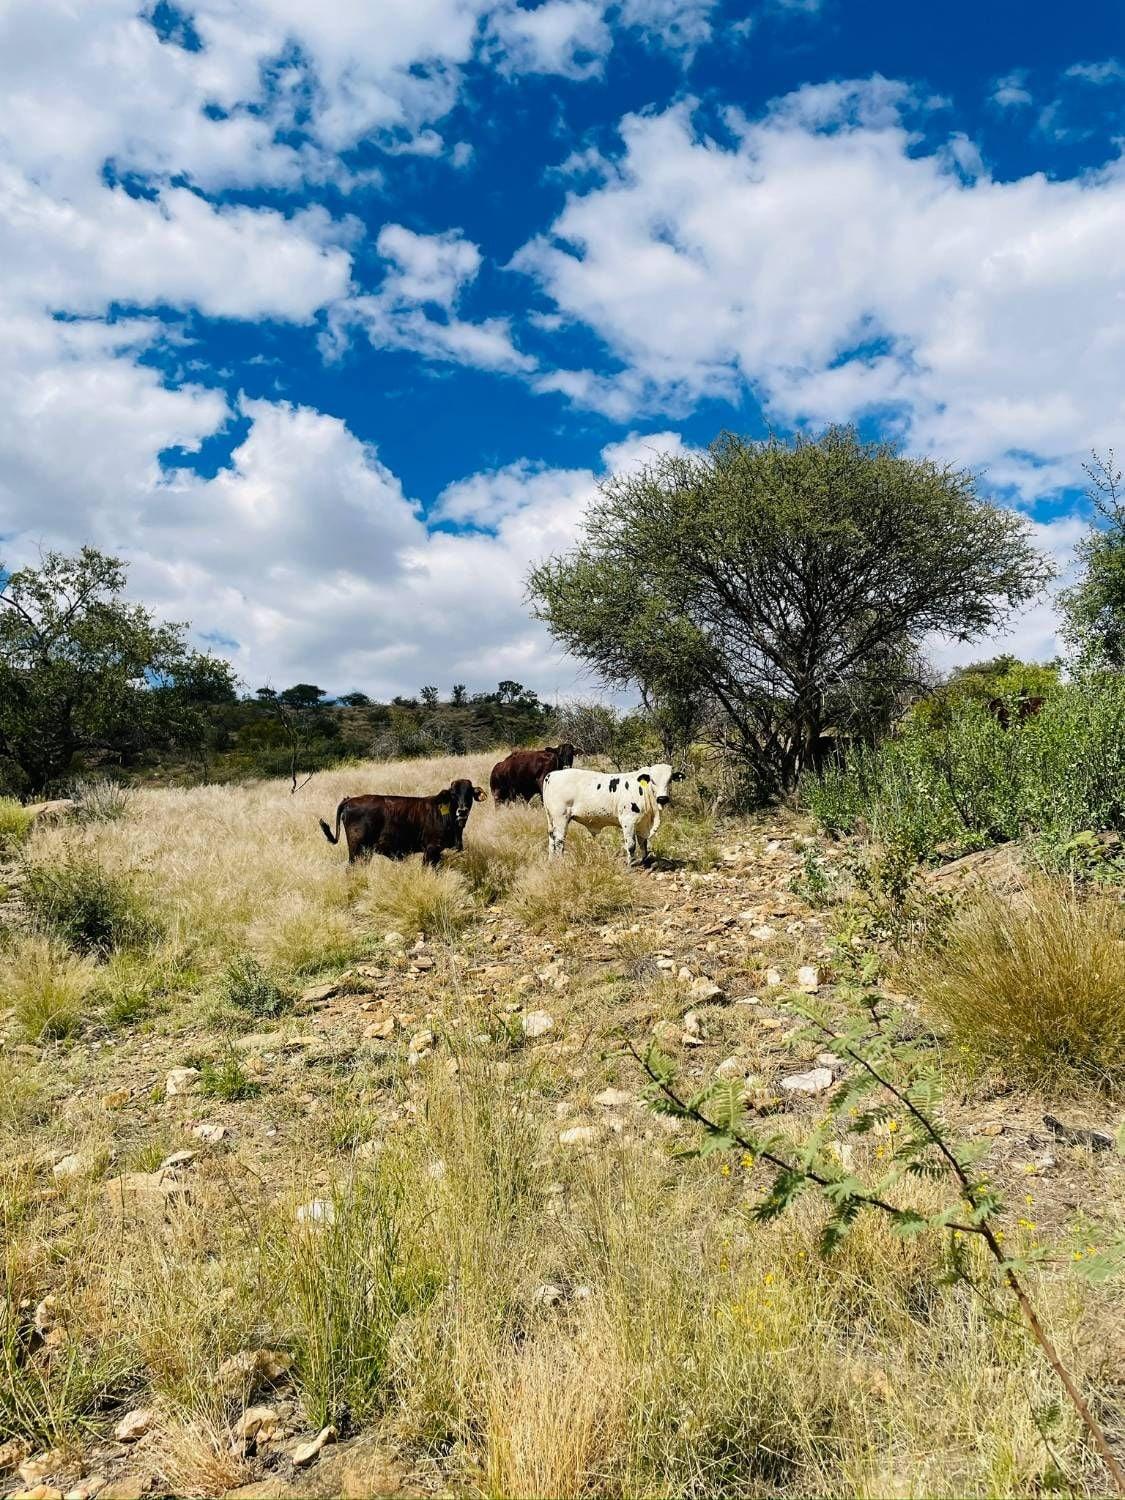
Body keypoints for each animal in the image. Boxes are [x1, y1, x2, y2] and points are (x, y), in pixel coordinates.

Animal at [319, 779, 485, 866]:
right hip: (357, 851)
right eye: (453, 794)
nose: (462, 810)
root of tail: (350, 800)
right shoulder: (431, 849)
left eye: (469, 793)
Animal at [541, 762, 685, 866]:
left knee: (551, 838)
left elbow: (643, 844)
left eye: (670, 780)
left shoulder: (642, 823)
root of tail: (552, 775)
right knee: (559, 840)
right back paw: (560, 862)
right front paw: (631, 864)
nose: (662, 798)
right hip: (561, 817)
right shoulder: (628, 821)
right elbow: (631, 845)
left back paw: (551, 861)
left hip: (552, 819)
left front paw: (645, 862)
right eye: (653, 781)